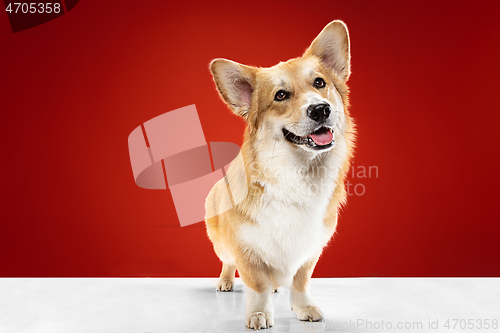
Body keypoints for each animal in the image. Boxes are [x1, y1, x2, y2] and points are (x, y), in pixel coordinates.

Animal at [205, 21, 354, 330]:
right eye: (281, 95)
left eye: (319, 83)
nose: (320, 109)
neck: (296, 174)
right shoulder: (246, 247)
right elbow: (257, 284)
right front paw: (259, 314)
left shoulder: (310, 249)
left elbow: (300, 281)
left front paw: (304, 308)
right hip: (221, 243)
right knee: (227, 262)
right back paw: (225, 282)